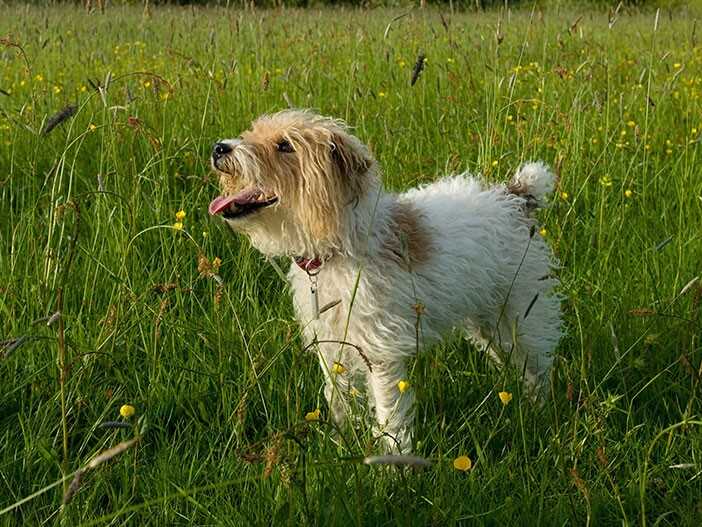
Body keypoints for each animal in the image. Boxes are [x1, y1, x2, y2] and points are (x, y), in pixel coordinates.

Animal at [208, 110, 560, 454]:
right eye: (252, 132)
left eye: (284, 146)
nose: (219, 148)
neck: (339, 247)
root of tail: (515, 196)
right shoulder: (332, 344)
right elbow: (338, 398)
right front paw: (340, 443)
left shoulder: (379, 350)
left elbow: (389, 409)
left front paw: (393, 458)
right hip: (487, 320)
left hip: (519, 311)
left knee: (537, 366)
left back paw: (540, 410)